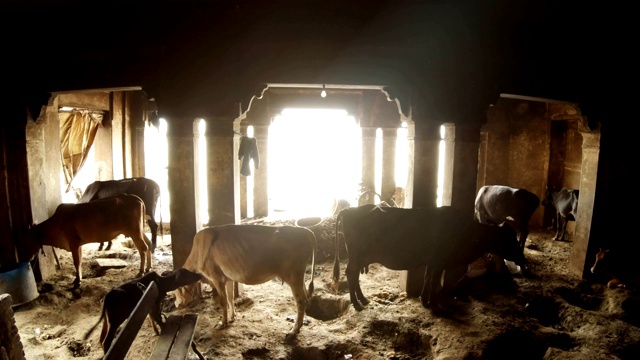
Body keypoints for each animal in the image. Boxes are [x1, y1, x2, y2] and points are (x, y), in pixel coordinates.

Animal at [24, 193, 152, 288]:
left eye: (28, 240)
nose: (28, 258)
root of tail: (134, 197)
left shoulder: (74, 243)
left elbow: (76, 262)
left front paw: (77, 281)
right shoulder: (78, 244)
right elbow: (79, 261)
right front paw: (78, 278)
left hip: (134, 232)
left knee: (143, 248)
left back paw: (141, 271)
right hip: (139, 231)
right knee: (149, 245)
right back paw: (148, 268)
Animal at [174, 225, 316, 340]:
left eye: (176, 292)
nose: (177, 305)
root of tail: (305, 230)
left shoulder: (216, 278)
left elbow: (223, 301)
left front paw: (222, 323)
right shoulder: (228, 278)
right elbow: (230, 298)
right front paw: (232, 317)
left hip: (293, 276)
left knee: (300, 301)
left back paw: (293, 331)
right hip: (299, 277)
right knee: (305, 297)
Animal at [332, 205, 528, 312]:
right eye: (508, 238)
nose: (523, 259)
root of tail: (348, 210)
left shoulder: (433, 261)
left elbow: (427, 278)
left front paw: (424, 301)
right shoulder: (440, 260)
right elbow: (433, 281)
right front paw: (433, 305)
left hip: (359, 257)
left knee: (354, 276)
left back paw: (363, 300)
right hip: (356, 255)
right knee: (351, 274)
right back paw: (357, 304)